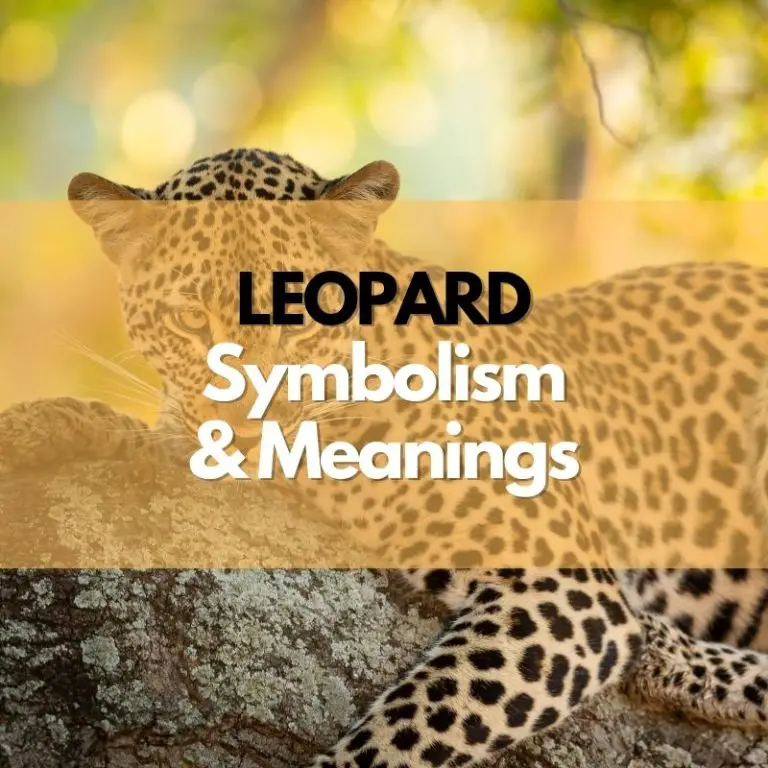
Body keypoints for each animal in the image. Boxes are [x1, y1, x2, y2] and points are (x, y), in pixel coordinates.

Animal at [2, 146, 768, 768]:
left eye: (300, 315)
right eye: (191, 319)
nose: (247, 424)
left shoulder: (564, 586)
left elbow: (411, 728)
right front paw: (37, 425)